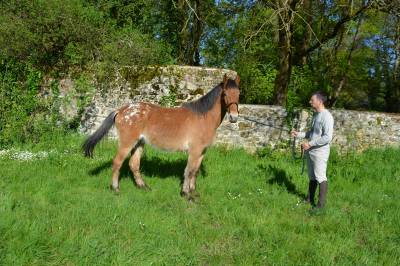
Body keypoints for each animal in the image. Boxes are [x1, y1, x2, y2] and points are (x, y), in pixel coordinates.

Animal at [83, 74, 239, 201]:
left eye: (239, 93)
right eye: (225, 93)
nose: (234, 118)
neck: (203, 117)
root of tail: (121, 110)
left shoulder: (202, 152)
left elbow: (195, 171)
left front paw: (194, 192)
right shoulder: (194, 151)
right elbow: (188, 171)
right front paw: (186, 194)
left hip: (139, 143)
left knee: (134, 164)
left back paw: (143, 187)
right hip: (127, 143)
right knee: (117, 162)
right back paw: (115, 189)